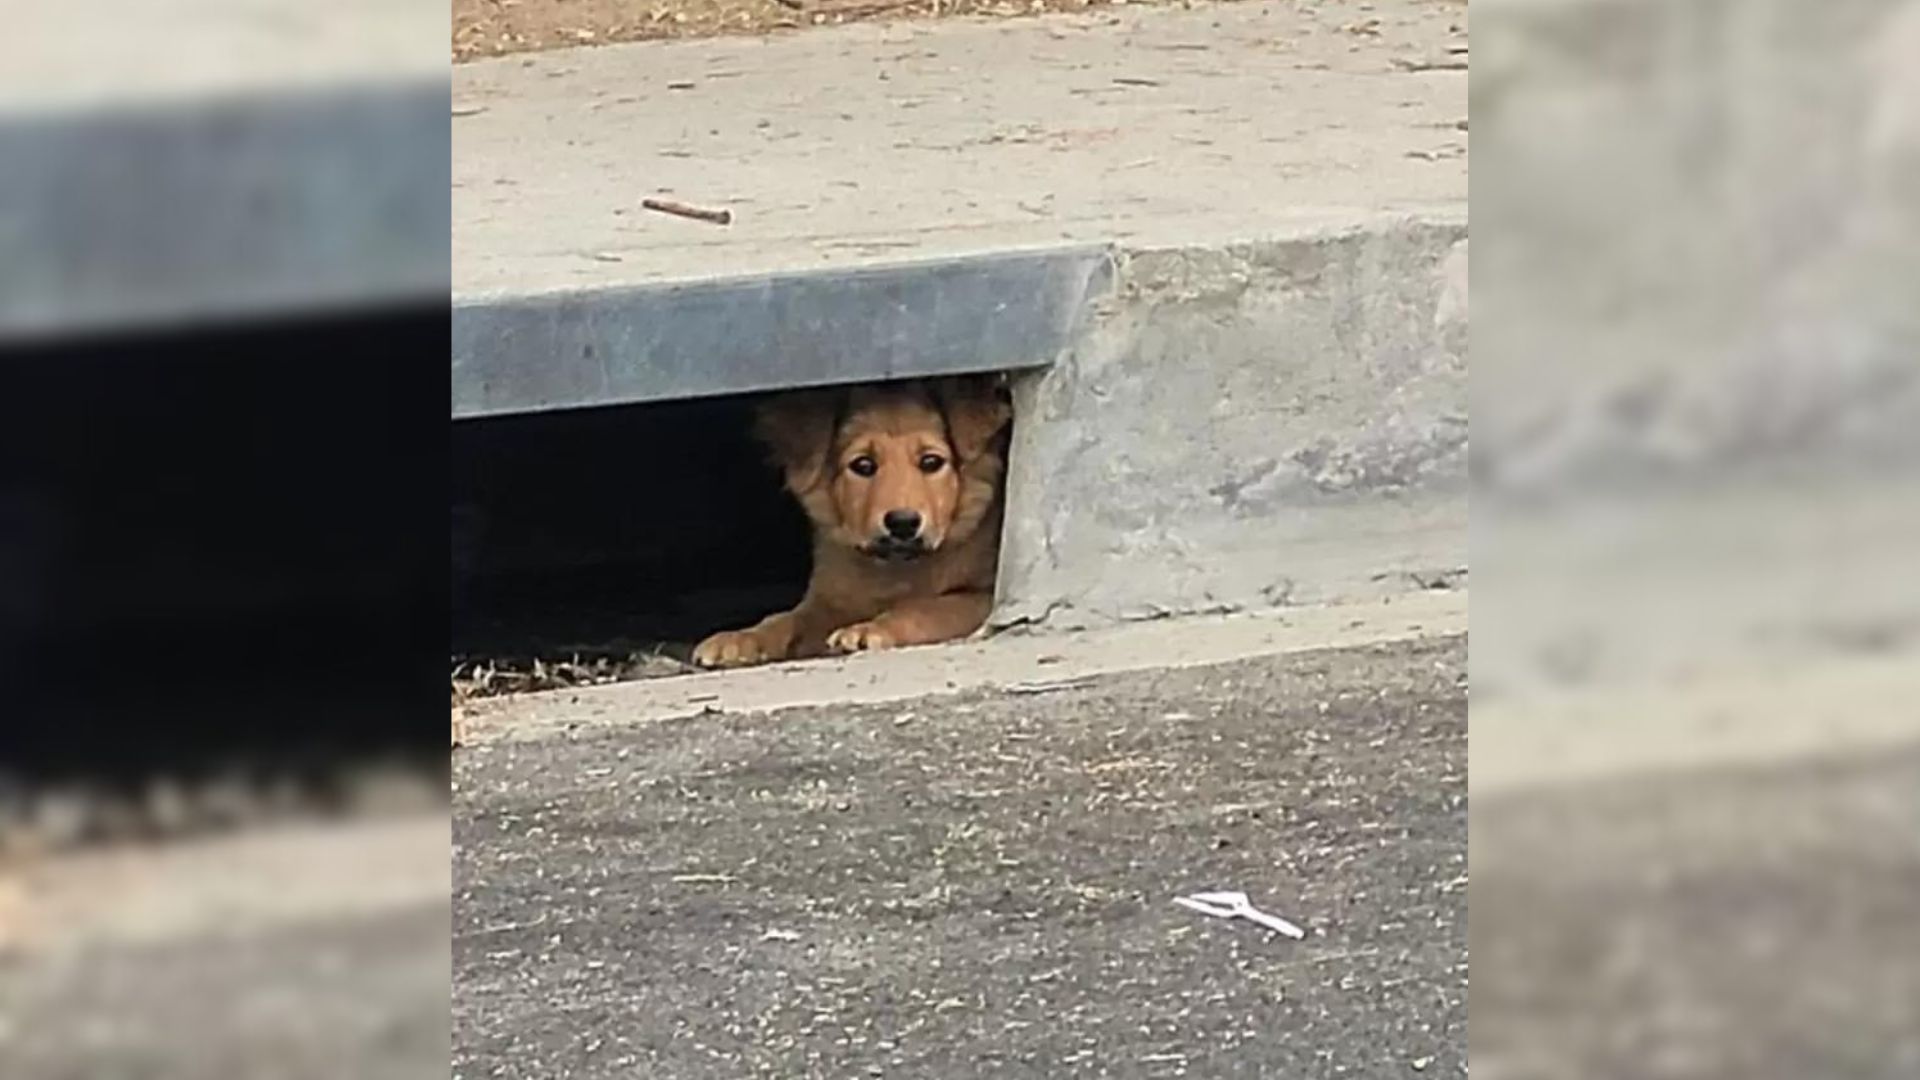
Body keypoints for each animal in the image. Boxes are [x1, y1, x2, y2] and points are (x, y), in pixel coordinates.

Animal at [695, 376, 1021, 664]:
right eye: (863, 465)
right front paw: (741, 638)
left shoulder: (984, 597)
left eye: (931, 462)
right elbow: (786, 618)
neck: (897, 568)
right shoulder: (829, 598)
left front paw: (871, 628)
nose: (903, 522)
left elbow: (927, 608)